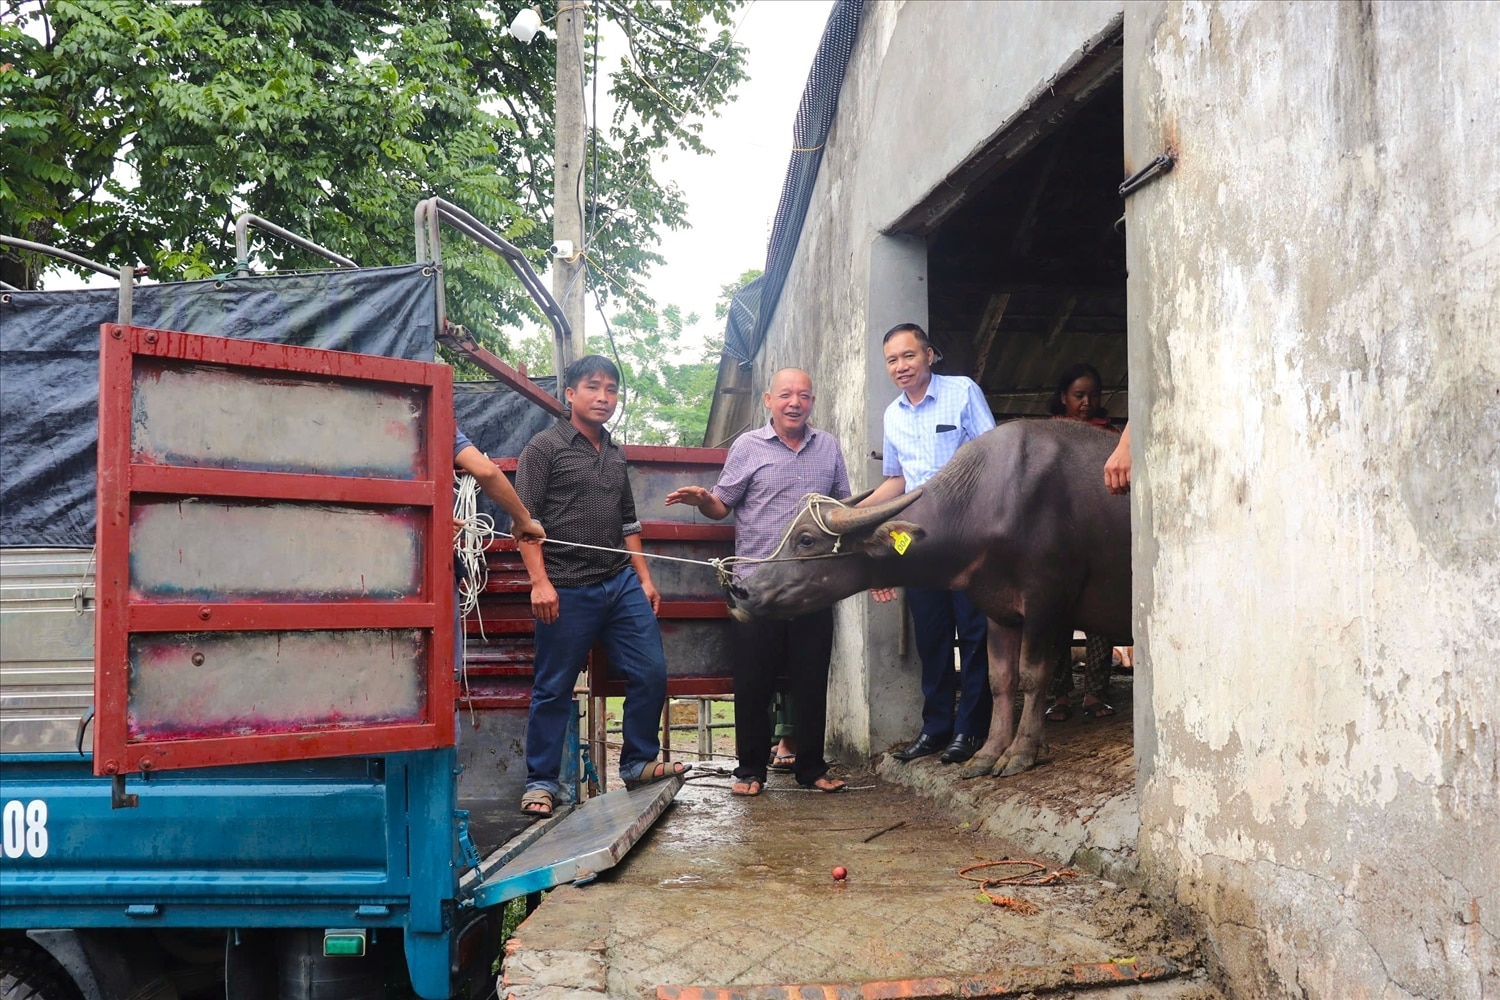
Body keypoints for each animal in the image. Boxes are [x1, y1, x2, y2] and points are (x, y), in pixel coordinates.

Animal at [723, 419, 1128, 779]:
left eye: (806, 540)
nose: (741, 591)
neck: (987, 504)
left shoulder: (1045, 604)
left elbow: (1031, 676)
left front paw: (1022, 752)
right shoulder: (999, 611)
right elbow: (1001, 680)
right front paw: (987, 754)